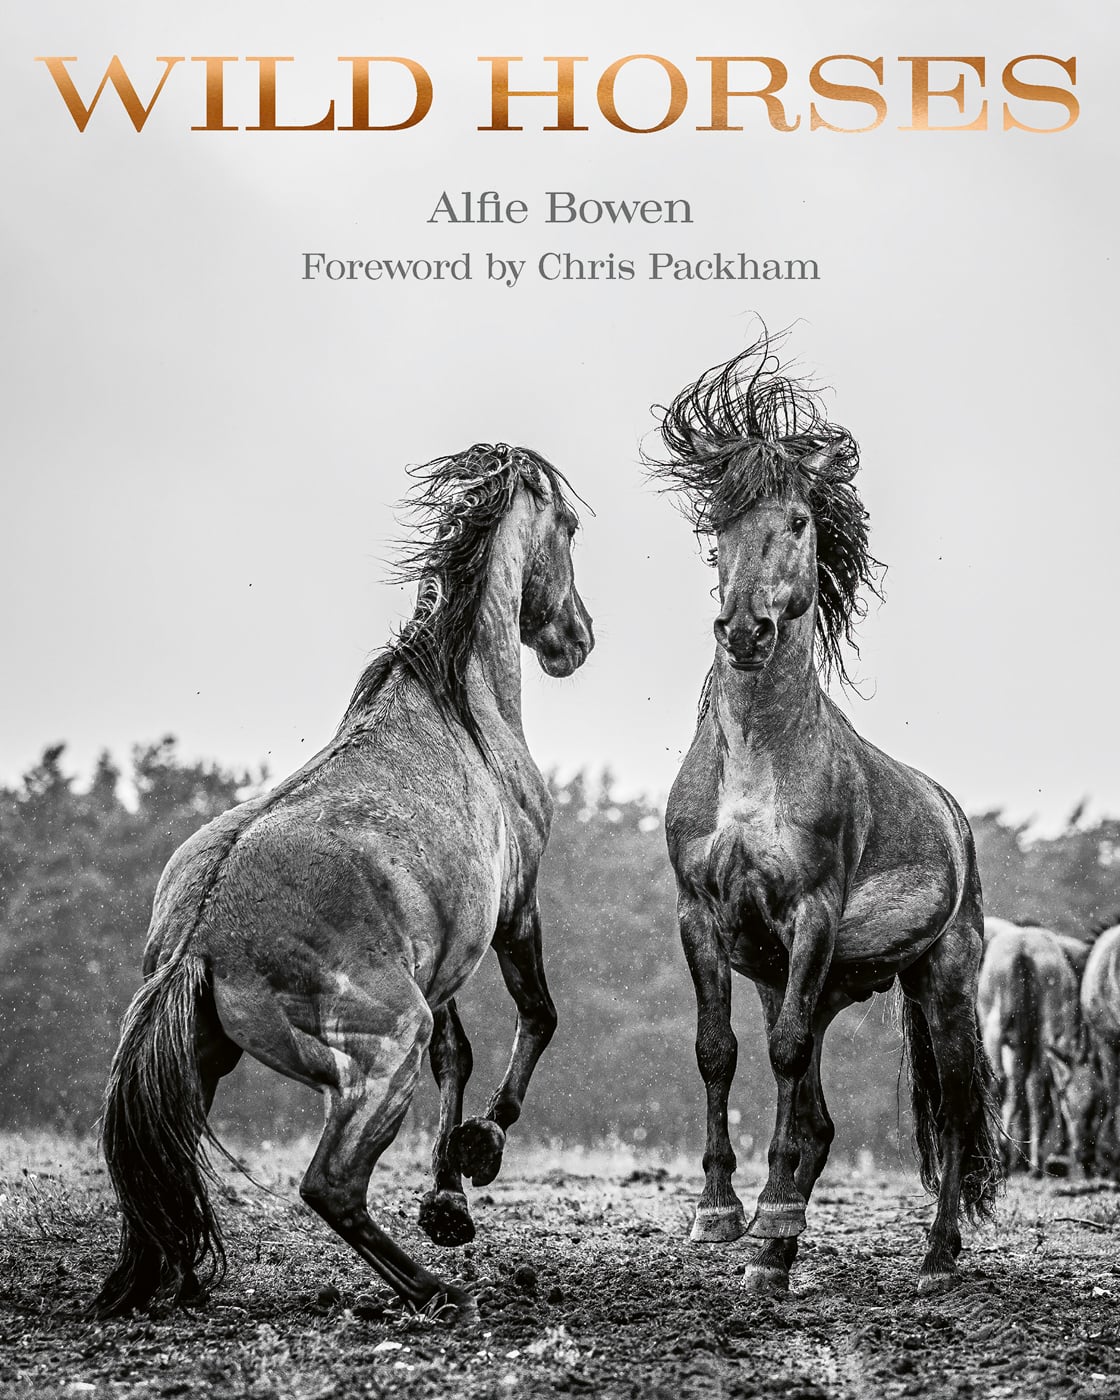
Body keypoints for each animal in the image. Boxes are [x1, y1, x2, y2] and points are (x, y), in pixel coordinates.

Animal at [93, 443, 594, 1322]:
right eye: (566, 525)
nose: (579, 638)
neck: (463, 704)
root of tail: (201, 935)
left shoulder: (443, 955)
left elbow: (459, 1055)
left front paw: (448, 1203)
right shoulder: (515, 908)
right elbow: (537, 1017)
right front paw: (481, 1149)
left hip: (204, 1061)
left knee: (163, 1170)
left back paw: (168, 1281)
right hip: (384, 1047)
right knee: (330, 1186)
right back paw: (436, 1292)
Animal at [648, 331, 1000, 1298]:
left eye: (801, 522)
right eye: (717, 524)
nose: (743, 632)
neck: (756, 765)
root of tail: (954, 817)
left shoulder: (811, 914)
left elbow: (784, 1056)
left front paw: (767, 1226)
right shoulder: (703, 918)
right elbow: (717, 1051)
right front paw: (723, 1218)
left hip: (942, 980)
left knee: (955, 1107)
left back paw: (936, 1254)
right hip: (821, 977)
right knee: (821, 1114)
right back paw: (788, 1236)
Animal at [978, 917, 1100, 1177]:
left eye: (1097, 1106)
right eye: (1068, 1105)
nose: (1085, 1156)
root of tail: (1022, 952)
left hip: (1000, 1031)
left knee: (1007, 1085)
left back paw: (1010, 1155)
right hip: (1039, 1031)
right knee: (1027, 1088)